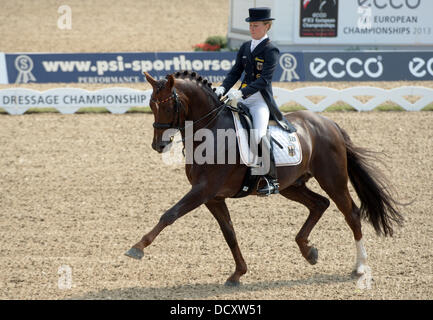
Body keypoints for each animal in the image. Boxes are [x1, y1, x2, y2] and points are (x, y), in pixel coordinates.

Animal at [124, 70, 402, 284]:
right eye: (150, 105)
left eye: (168, 105)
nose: (158, 145)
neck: (210, 130)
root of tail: (327, 122)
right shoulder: (213, 197)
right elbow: (229, 233)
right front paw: (238, 274)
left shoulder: (203, 190)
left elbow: (169, 214)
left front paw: (137, 248)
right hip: (292, 185)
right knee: (319, 204)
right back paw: (309, 251)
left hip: (332, 179)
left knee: (351, 213)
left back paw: (360, 267)